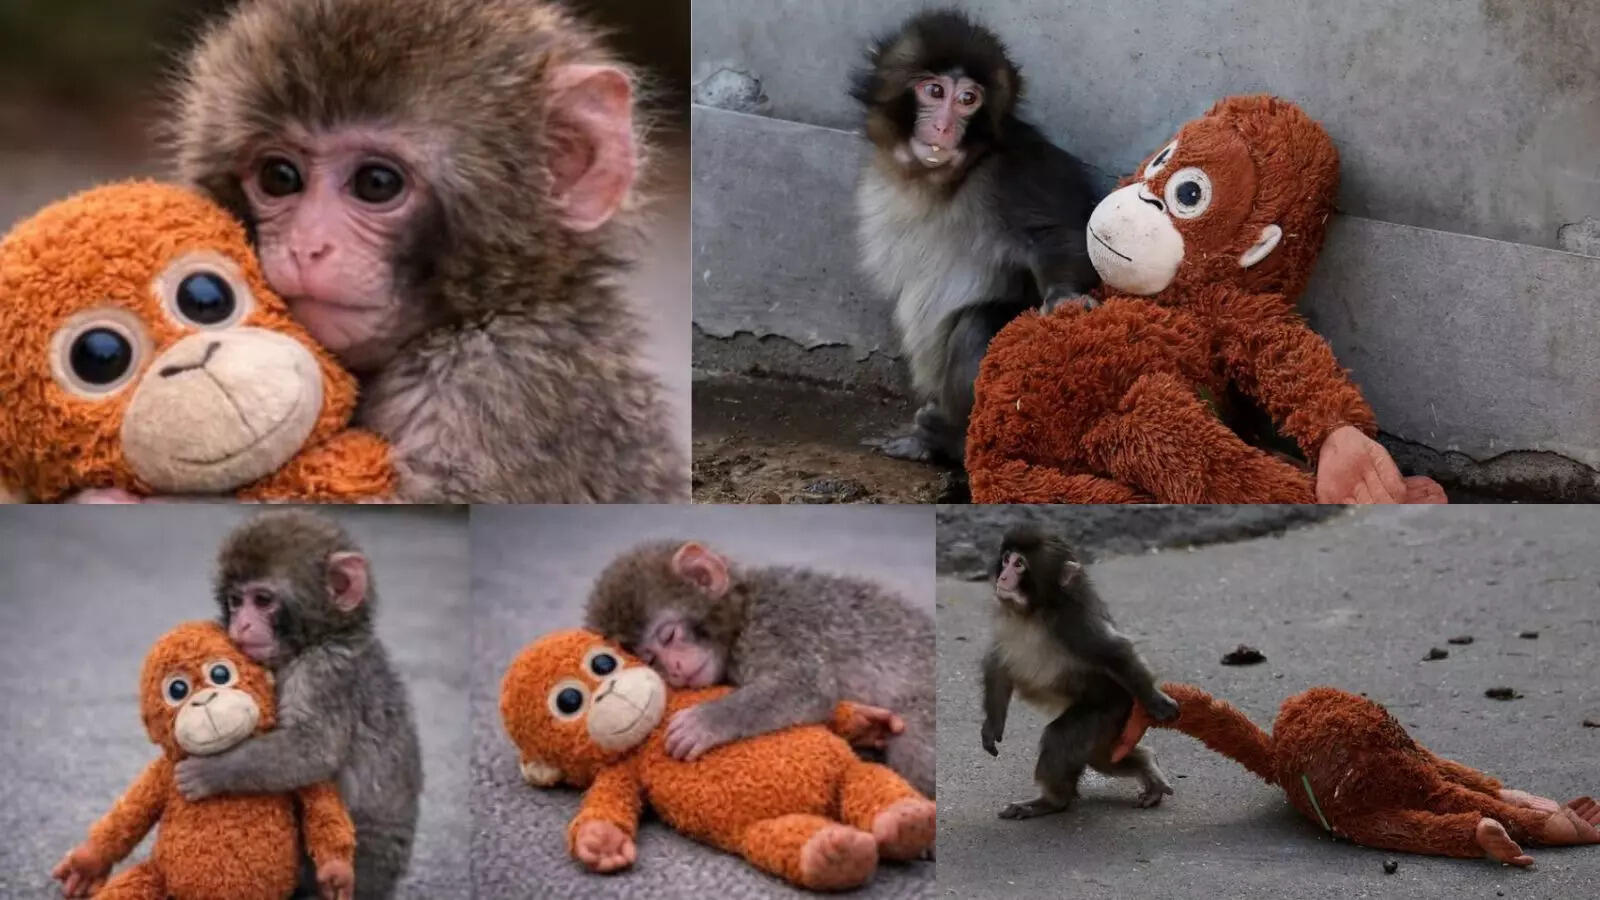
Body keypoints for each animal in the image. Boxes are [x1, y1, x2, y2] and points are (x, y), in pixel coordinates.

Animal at [172, 511, 423, 900]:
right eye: (235, 601)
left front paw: (210, 771)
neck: (316, 639)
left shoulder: (322, 673)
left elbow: (311, 749)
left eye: (262, 600)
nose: (242, 624)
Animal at [584, 539, 936, 798]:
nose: (677, 668)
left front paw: (708, 720)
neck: (742, 615)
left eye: (668, 635)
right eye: (651, 659)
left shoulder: (773, 626)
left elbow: (807, 685)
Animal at [852, 9, 1100, 465]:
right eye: (934, 91)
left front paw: (1064, 297)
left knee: (977, 325)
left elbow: (1060, 236)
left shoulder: (1013, 171)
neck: (942, 180)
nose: (944, 126)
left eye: (968, 99)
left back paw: (948, 439)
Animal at [980, 525, 1178, 819]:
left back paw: (1052, 801)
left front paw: (1156, 700)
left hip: (1109, 709)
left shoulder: (1073, 623)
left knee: (1062, 739)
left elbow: (1115, 651)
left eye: (1019, 564)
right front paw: (992, 724)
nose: (1003, 577)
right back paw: (1147, 766)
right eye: (1005, 559)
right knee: (1104, 758)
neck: (1034, 611)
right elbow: (998, 663)